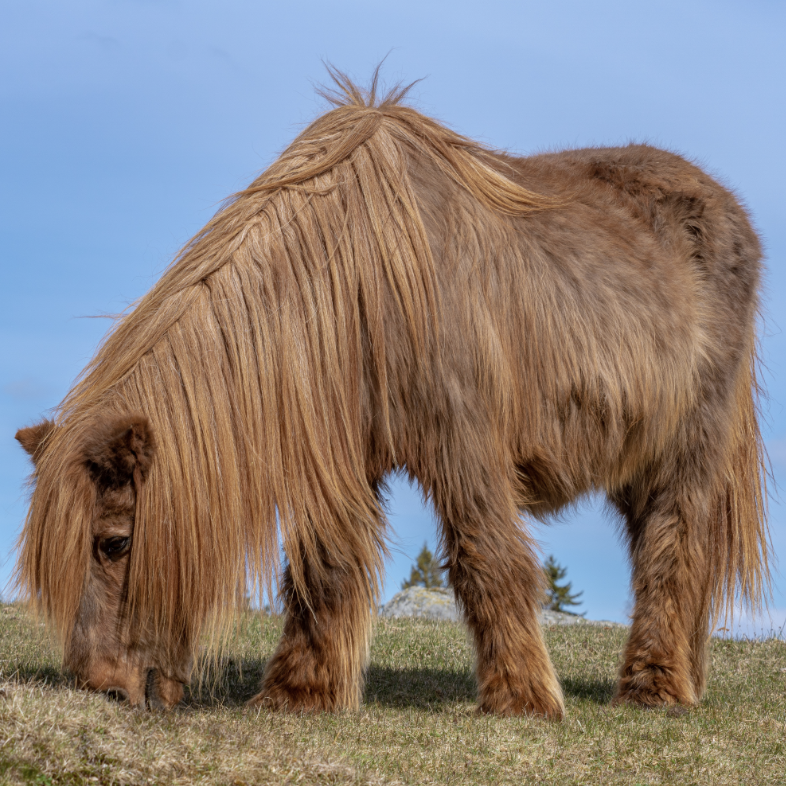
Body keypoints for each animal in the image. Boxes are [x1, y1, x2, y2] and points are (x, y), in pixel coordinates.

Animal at [15, 71, 769, 718]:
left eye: (114, 543)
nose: (99, 687)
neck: (353, 284)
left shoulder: (462, 443)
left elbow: (487, 559)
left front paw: (523, 700)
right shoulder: (342, 457)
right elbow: (322, 569)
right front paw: (299, 695)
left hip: (689, 448)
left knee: (673, 551)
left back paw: (653, 689)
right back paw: (684, 679)